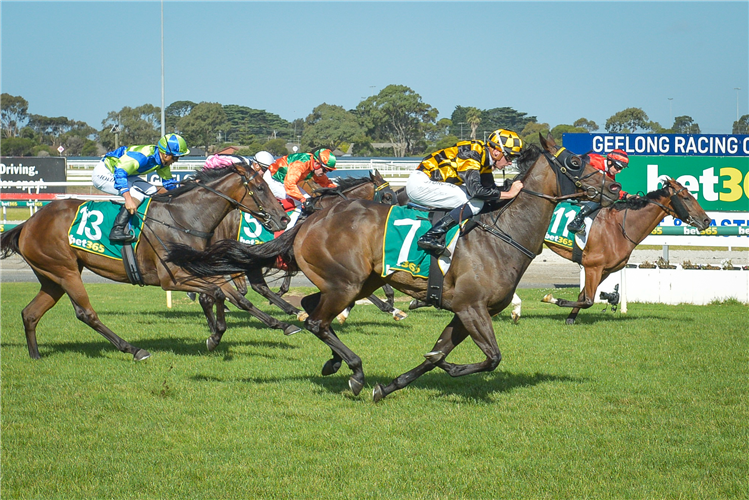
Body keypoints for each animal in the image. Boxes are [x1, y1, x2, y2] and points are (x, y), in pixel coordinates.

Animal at [0, 166, 288, 362]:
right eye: (260, 188)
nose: (283, 218)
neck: (184, 217)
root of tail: (28, 223)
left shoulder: (197, 269)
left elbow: (235, 297)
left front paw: (281, 323)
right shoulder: (172, 278)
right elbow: (216, 294)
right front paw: (215, 335)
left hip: (52, 277)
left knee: (30, 313)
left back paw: (35, 356)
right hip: (65, 271)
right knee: (86, 313)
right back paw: (134, 349)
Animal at [168, 135, 620, 400]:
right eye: (576, 163)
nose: (616, 187)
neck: (502, 236)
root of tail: (310, 219)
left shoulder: (464, 311)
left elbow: (437, 355)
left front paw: (389, 387)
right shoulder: (472, 308)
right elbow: (491, 357)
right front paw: (450, 368)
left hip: (357, 282)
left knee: (312, 309)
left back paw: (333, 360)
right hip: (347, 283)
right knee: (314, 319)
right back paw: (352, 370)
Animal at [540, 178, 712, 322]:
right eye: (686, 197)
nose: (707, 220)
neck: (618, 228)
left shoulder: (605, 270)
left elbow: (583, 296)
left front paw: (571, 318)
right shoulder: (593, 267)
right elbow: (588, 301)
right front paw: (553, 299)